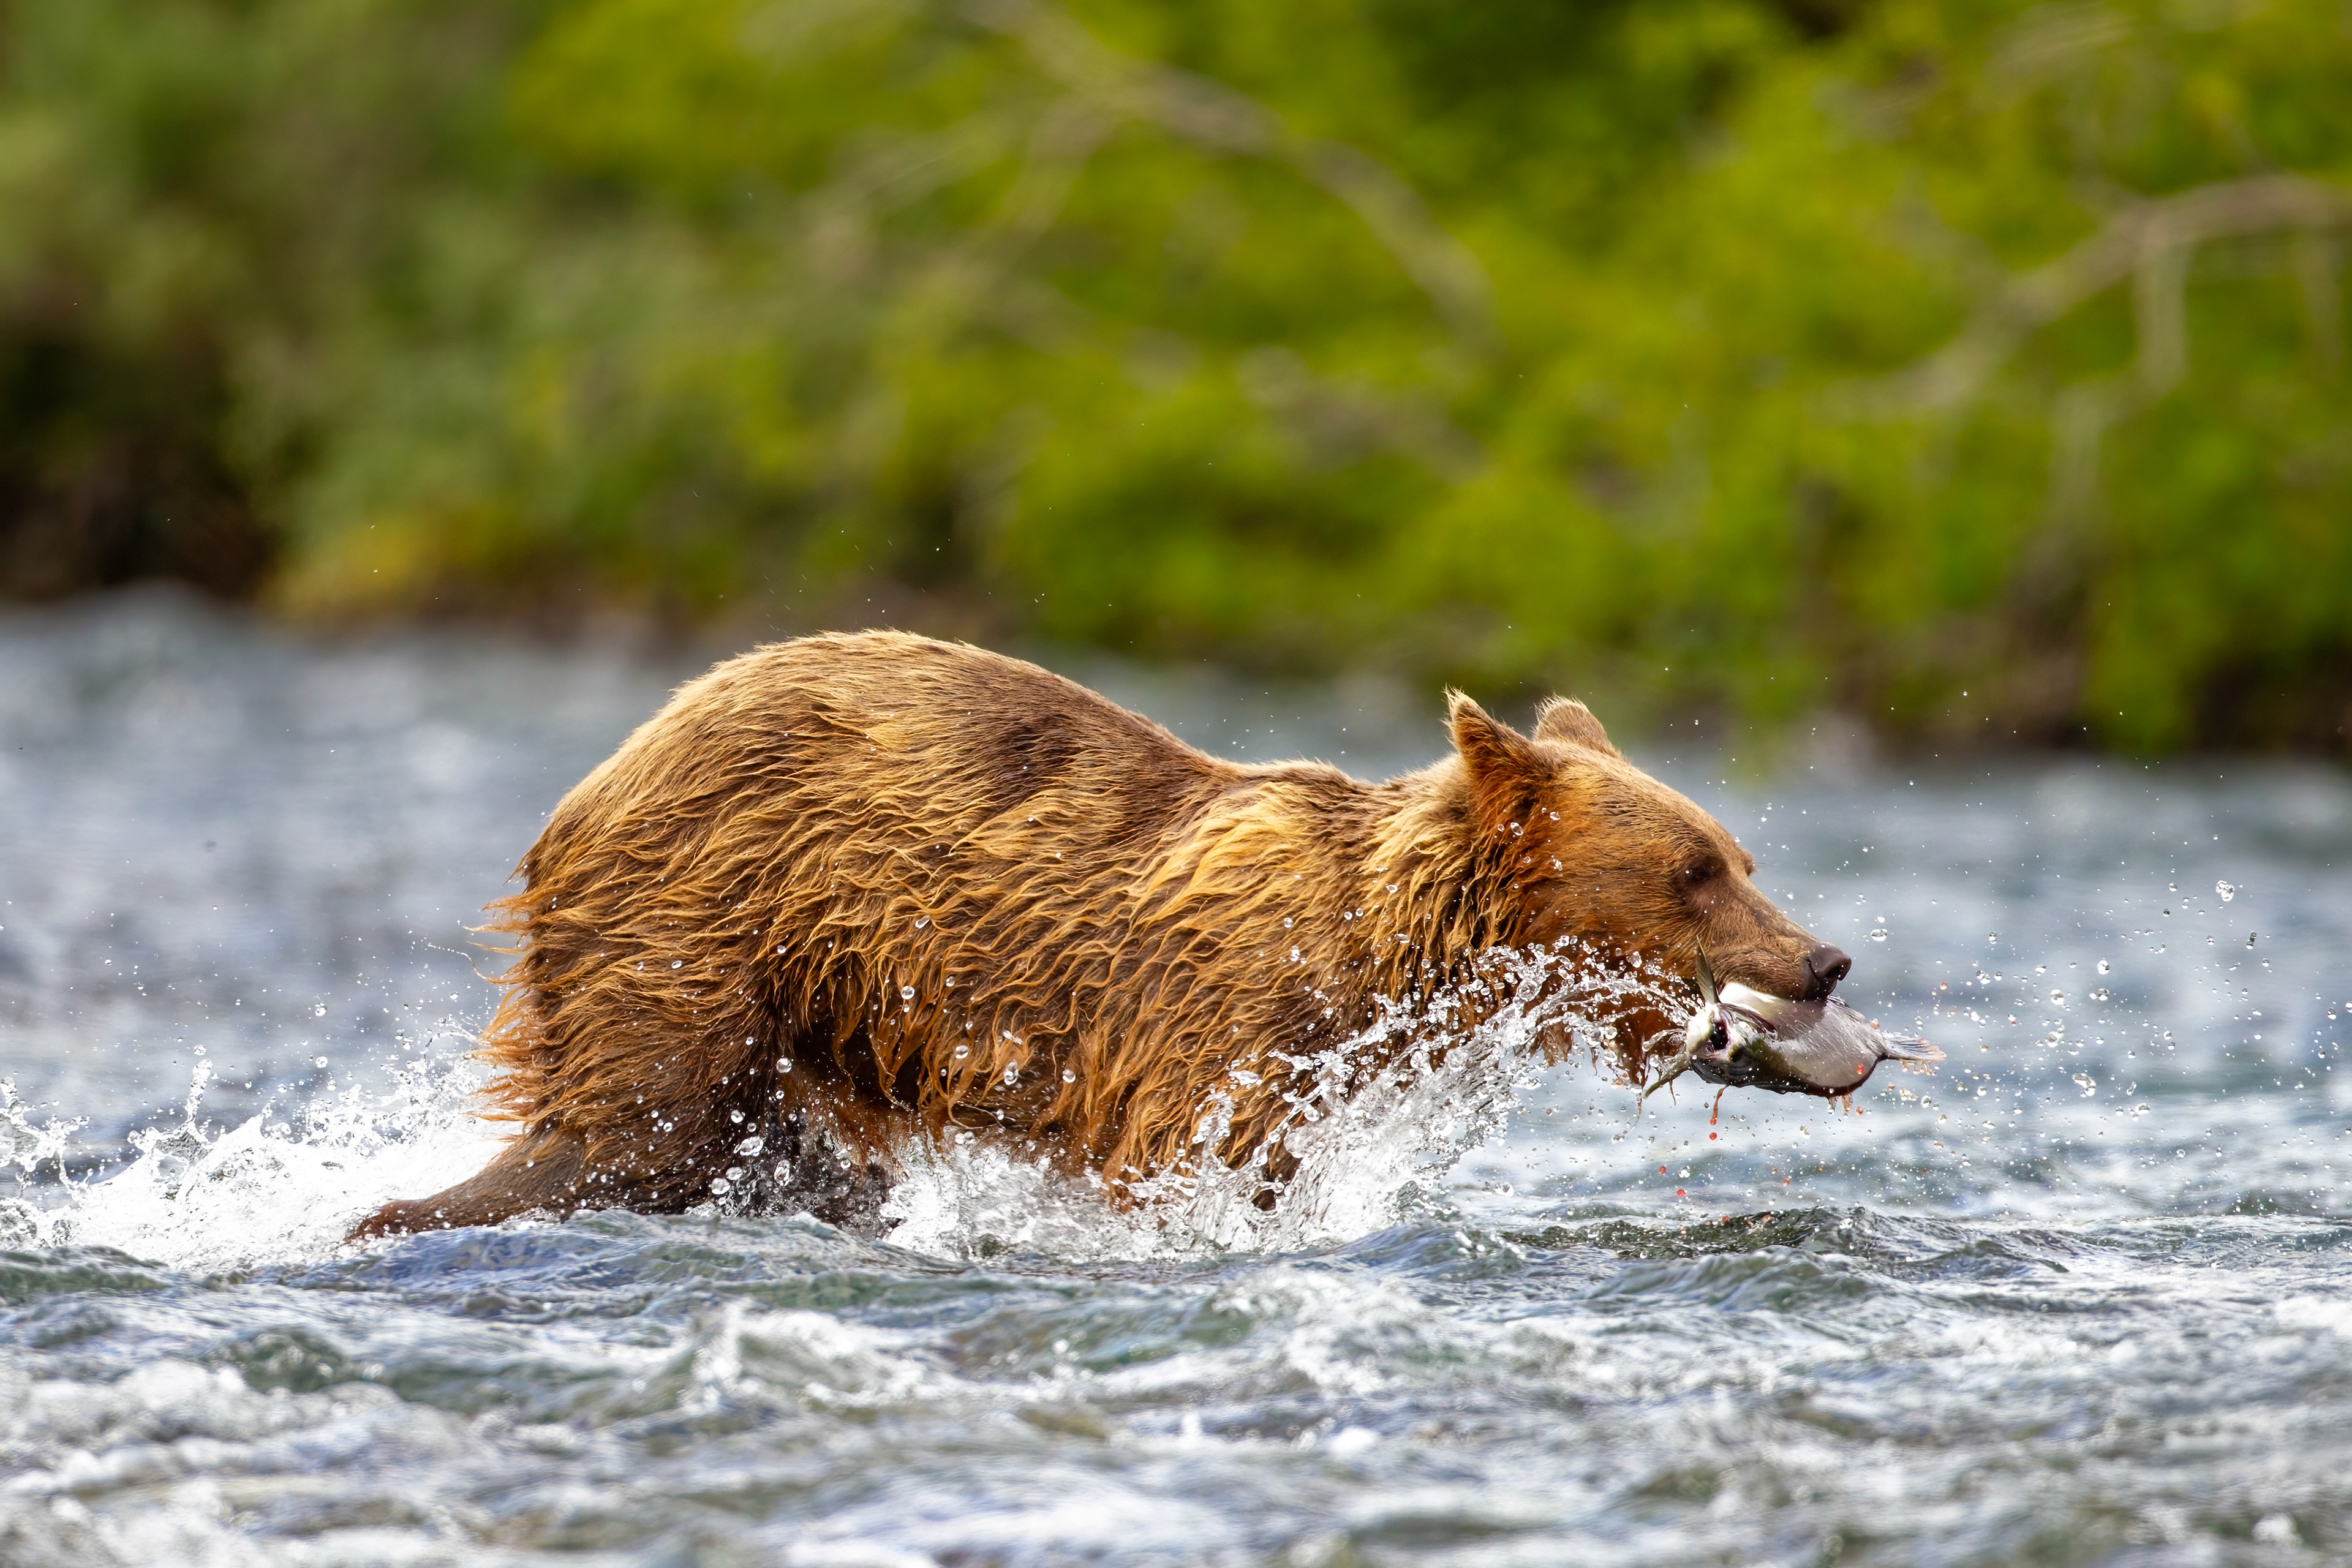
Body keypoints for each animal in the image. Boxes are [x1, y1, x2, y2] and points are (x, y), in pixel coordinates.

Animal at [350, 630, 1849, 1239]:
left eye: (1741, 858)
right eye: (1694, 870)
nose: (1824, 960)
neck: (1387, 960)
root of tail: (593, 778)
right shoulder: (1217, 1035)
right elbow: (1197, 1170)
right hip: (707, 913)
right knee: (640, 1124)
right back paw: (404, 1206)